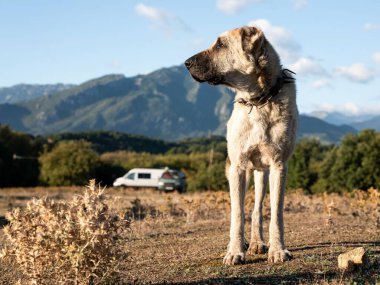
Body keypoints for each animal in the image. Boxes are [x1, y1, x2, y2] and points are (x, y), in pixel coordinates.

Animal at [186, 26, 298, 264]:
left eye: (220, 44)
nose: (186, 63)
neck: (259, 100)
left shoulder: (278, 165)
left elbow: (276, 213)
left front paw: (278, 250)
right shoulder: (237, 167)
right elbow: (237, 214)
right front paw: (235, 251)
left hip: (261, 173)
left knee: (256, 209)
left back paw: (257, 242)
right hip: (238, 170)